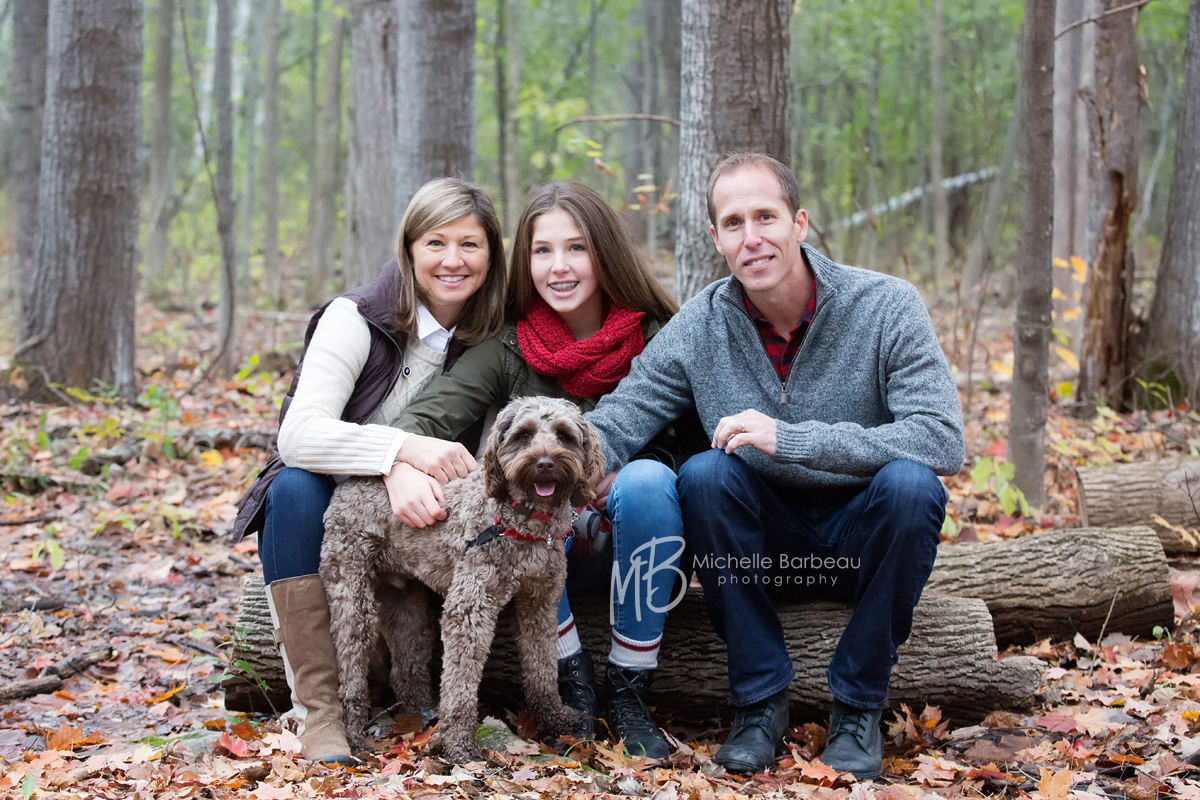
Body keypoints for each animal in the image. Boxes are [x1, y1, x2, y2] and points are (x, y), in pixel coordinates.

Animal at [316, 398, 600, 762]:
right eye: (523, 435)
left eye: (564, 435)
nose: (545, 463)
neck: (521, 522)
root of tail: (351, 480)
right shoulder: (469, 610)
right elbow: (461, 682)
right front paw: (459, 744)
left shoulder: (540, 604)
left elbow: (542, 667)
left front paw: (554, 715)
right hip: (353, 598)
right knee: (350, 670)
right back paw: (353, 735)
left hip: (405, 603)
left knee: (406, 667)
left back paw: (421, 717)